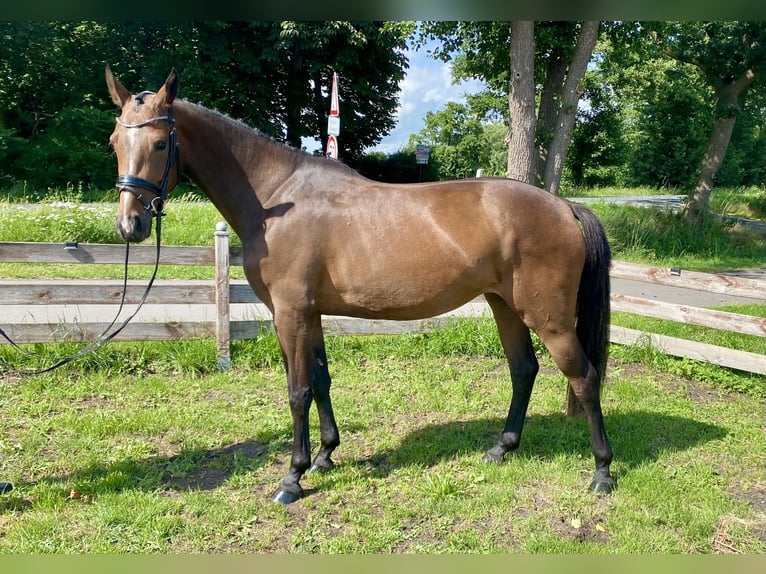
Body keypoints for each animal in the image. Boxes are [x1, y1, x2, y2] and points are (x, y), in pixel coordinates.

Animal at [106, 66, 615, 504]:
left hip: (548, 317)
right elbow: (321, 380)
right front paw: (326, 455)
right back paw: (502, 448)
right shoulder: (309, 313)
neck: (276, 199)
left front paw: (292, 478)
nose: (130, 224)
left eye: (159, 142)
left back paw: (602, 472)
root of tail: (563, 205)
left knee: (584, 377)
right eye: (114, 141)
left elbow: (297, 391)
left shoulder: (289, 313)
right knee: (524, 369)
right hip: (504, 305)